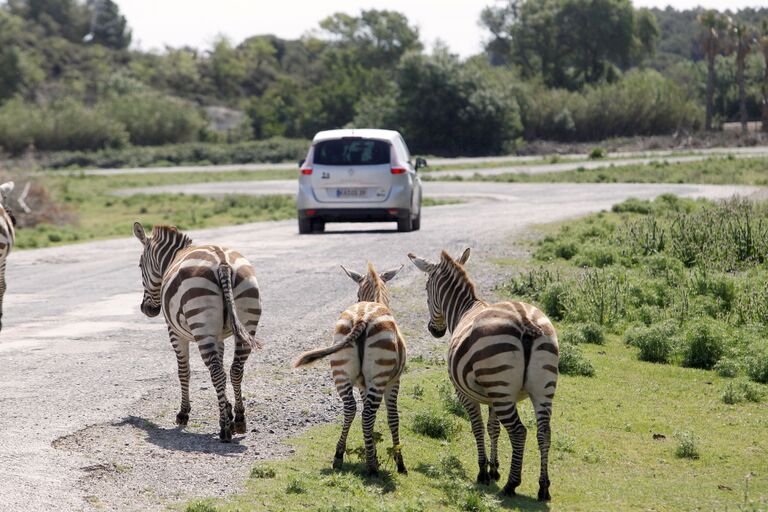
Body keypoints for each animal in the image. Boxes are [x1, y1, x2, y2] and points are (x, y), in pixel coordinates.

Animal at [134, 222, 262, 442]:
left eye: (141, 266)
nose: (147, 310)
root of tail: (223, 263)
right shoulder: (218, 336)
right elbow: (221, 364)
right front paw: (227, 409)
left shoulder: (175, 333)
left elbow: (183, 372)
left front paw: (183, 414)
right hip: (247, 321)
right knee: (235, 370)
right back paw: (239, 420)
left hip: (201, 325)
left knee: (217, 373)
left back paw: (224, 429)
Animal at [292, 264, 408, 476]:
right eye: (357, 293)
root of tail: (363, 317)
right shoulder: (394, 381)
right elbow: (393, 417)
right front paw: (400, 463)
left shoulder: (363, 385)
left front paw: (375, 452)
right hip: (378, 376)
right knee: (367, 414)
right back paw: (371, 467)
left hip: (341, 371)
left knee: (351, 408)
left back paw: (339, 456)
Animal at [408, 248, 560, 500]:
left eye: (426, 290)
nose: (434, 331)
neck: (465, 309)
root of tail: (525, 320)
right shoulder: (491, 397)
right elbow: (493, 428)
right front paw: (494, 469)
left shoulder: (465, 393)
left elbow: (478, 427)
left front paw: (483, 472)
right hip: (540, 389)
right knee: (544, 432)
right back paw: (544, 487)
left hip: (503, 388)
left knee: (519, 432)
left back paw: (512, 484)